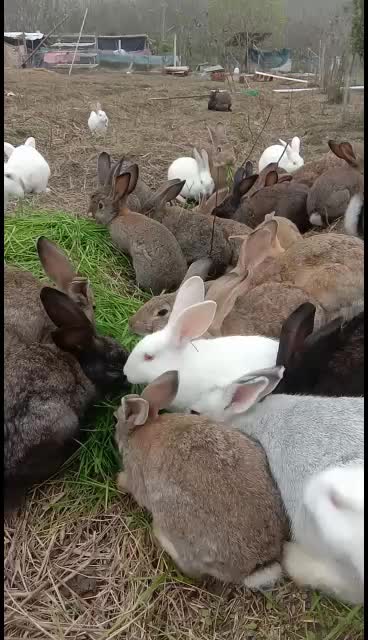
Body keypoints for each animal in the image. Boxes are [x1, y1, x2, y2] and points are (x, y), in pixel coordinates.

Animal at [115, 370, 288, 584]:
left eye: (116, 419)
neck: (142, 428)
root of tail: (256, 566)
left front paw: (118, 480)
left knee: (191, 570)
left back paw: (159, 535)